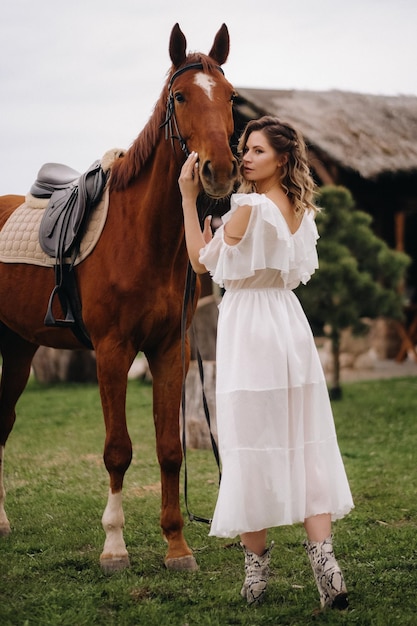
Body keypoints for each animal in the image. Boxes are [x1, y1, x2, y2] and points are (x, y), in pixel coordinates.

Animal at [0, 23, 237, 572]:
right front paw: (113, 547)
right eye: (180, 96)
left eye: (231, 97)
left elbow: (169, 448)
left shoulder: (171, 351)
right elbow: (118, 450)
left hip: (18, 348)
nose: (218, 171)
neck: (142, 237)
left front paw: (177, 547)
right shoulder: (112, 353)